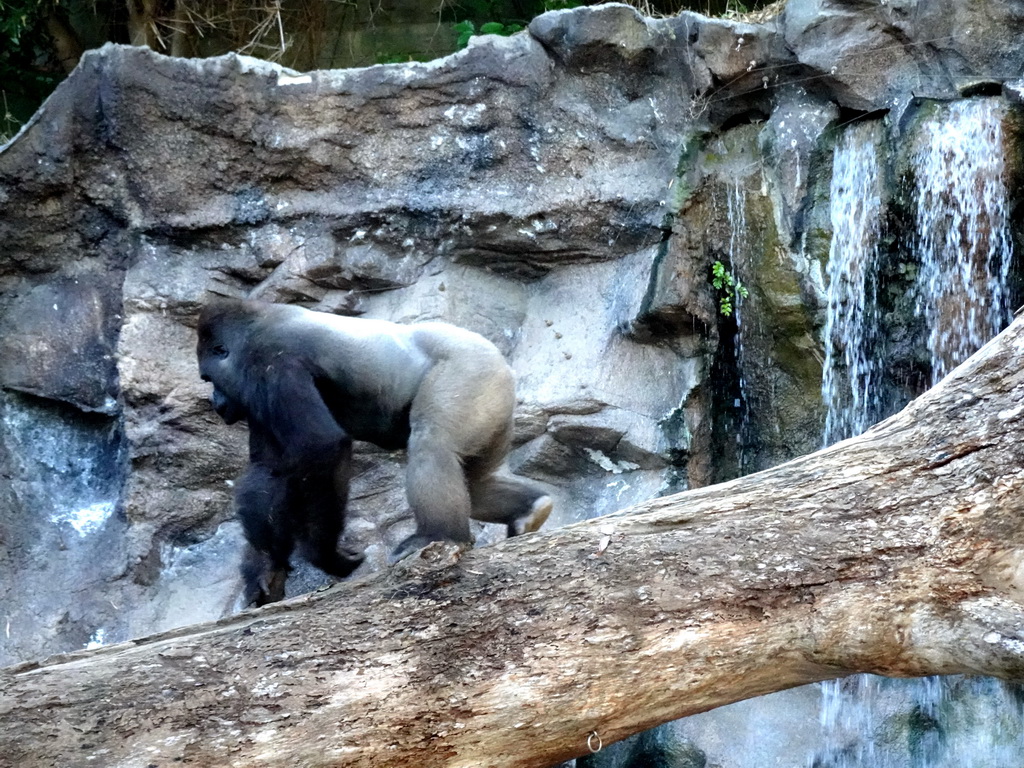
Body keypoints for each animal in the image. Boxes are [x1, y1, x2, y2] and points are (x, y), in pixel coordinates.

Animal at [197, 296, 552, 606]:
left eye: (208, 377)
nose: (215, 403)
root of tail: (502, 364)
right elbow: (269, 471)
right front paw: (265, 567)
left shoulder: (270, 362)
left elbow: (321, 447)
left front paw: (325, 556)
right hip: (495, 402)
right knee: (475, 483)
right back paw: (531, 510)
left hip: (469, 368)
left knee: (433, 444)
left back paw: (440, 536)